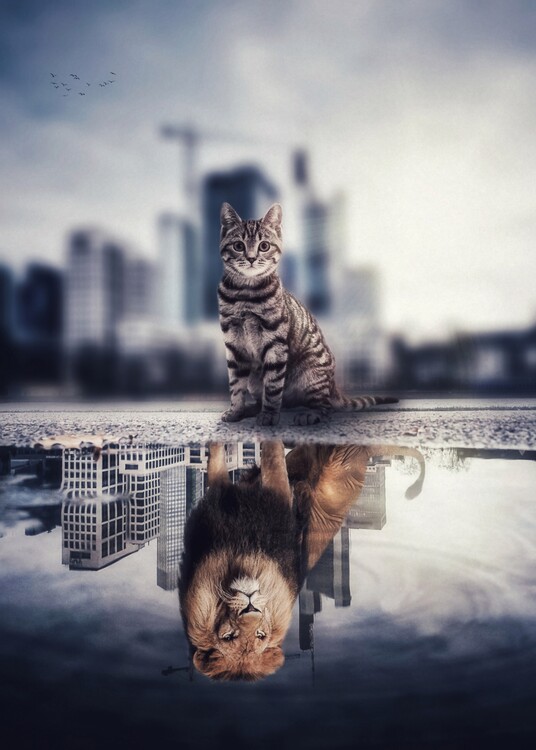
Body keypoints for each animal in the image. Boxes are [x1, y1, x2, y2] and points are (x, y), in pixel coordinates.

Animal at [178, 441, 425, 681]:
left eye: (261, 635)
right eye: (229, 636)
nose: (251, 602)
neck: (240, 555)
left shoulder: (278, 493)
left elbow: (270, 454)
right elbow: (221, 454)